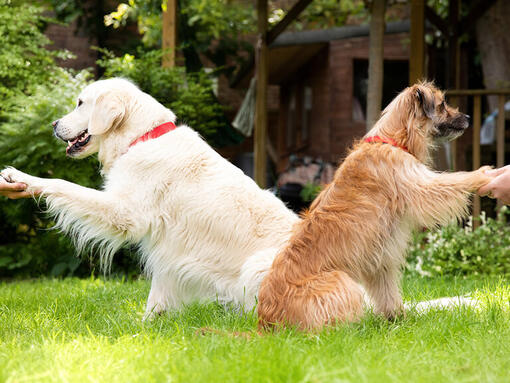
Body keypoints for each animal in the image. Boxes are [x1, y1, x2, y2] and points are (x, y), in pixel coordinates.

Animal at [0, 78, 298, 318]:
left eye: (81, 103)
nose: (53, 125)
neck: (142, 138)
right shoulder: (168, 248)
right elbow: (158, 294)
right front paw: (146, 326)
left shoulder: (124, 213)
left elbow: (62, 185)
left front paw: (21, 177)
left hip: (258, 266)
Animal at [258, 82, 494, 332]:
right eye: (441, 105)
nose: (468, 117)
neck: (393, 139)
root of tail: (267, 323)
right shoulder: (419, 186)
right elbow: (452, 181)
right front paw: (481, 175)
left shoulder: (380, 259)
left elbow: (388, 292)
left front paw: (398, 320)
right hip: (341, 282)